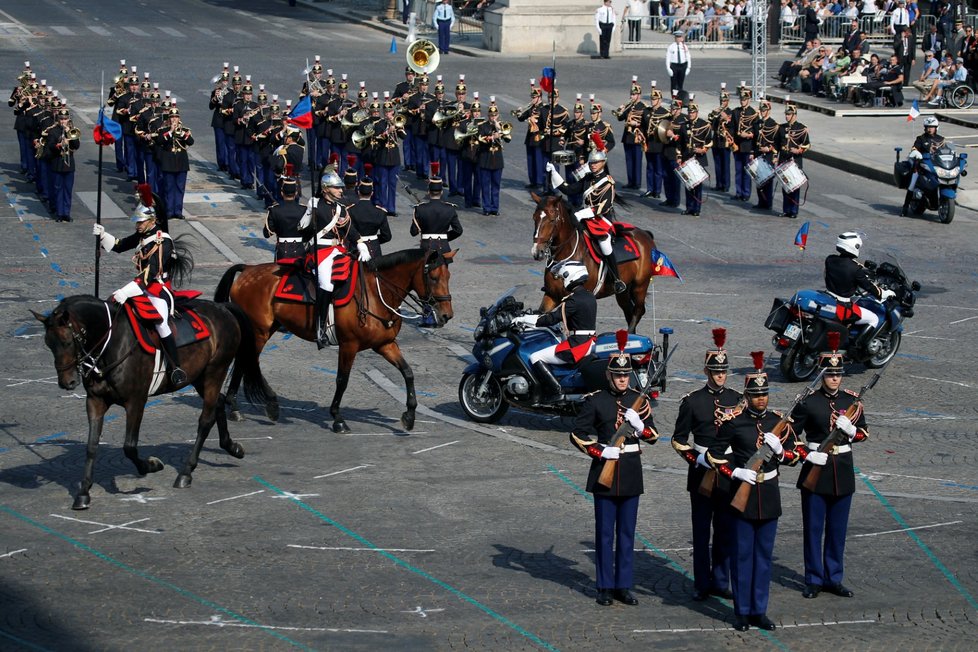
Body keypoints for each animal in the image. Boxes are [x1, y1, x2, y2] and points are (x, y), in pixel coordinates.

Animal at [32, 296, 264, 510]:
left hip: (215, 372)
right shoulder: (95, 401)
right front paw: (83, 493)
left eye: (67, 342)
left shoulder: (136, 402)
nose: (67, 382)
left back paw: (186, 472)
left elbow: (129, 447)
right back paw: (231, 447)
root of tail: (222, 307)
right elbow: (91, 446)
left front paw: (151, 465)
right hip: (200, 377)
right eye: (48, 344)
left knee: (205, 420)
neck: (112, 344)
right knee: (218, 404)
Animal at [213, 248, 454, 432]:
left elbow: (408, 373)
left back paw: (239, 405)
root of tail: (248, 269)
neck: (376, 295)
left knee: (244, 362)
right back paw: (261, 404)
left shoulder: (384, 345)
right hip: (259, 331)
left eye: (449, 277)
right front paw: (337, 418)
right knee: (247, 362)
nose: (446, 315)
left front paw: (410, 414)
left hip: (263, 330)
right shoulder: (349, 345)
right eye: (433, 277)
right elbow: (342, 380)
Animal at [528, 190, 656, 332]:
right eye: (534, 218)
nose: (537, 252)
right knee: (629, 311)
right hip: (624, 292)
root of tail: (645, 234)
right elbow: (540, 315)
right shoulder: (551, 296)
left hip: (640, 285)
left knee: (638, 311)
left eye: (551, 220)